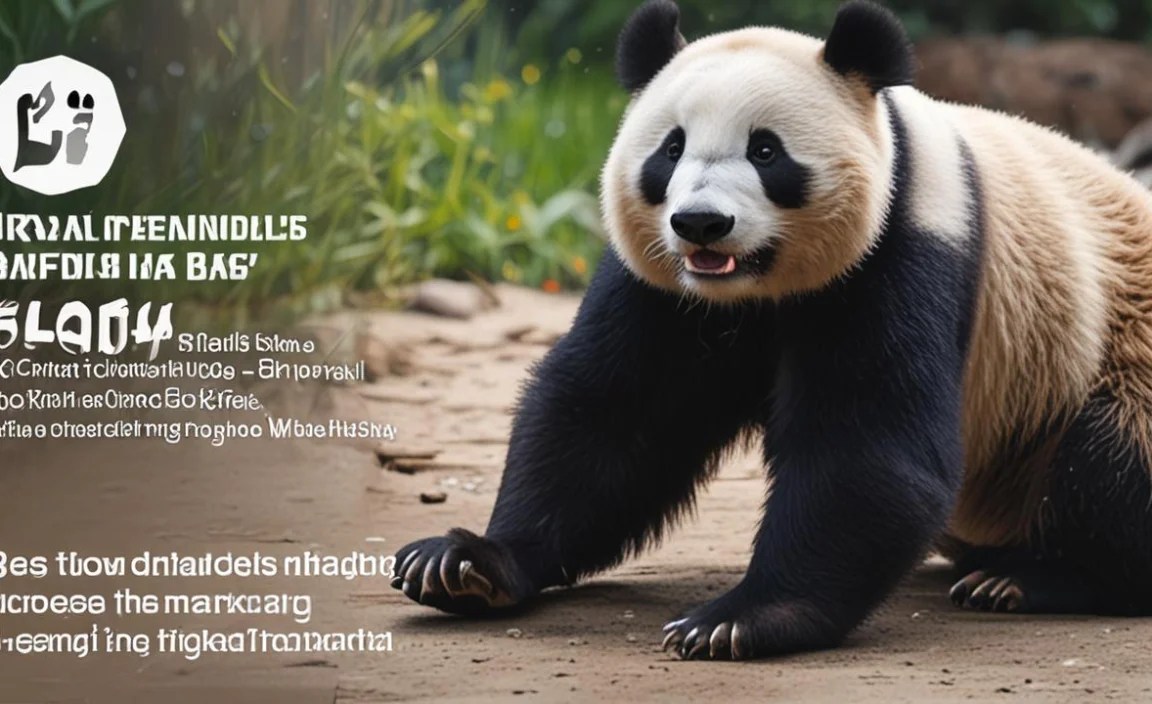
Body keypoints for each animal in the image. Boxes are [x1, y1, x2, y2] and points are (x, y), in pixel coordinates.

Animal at [391, 0, 1152, 660]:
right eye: (670, 149)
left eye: (766, 151)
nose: (701, 223)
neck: (751, 291)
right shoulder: (662, 289)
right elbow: (610, 415)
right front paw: (465, 563)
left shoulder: (908, 245)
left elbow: (866, 439)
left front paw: (739, 619)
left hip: (1114, 348)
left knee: (1111, 456)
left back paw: (1028, 579)